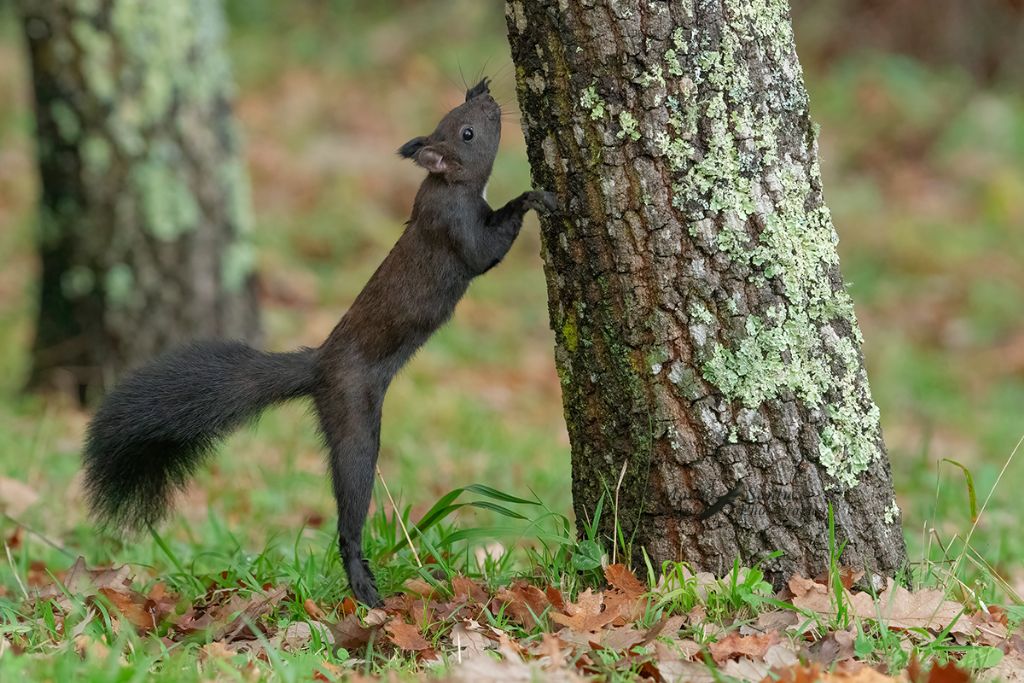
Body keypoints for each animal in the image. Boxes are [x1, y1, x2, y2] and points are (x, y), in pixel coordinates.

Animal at [82, 77, 557, 606]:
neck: (442, 187)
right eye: (467, 131)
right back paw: (363, 583)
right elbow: (484, 252)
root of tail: (318, 366)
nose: (487, 97)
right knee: (350, 503)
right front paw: (533, 199)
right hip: (354, 417)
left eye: (461, 110)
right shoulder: (455, 230)